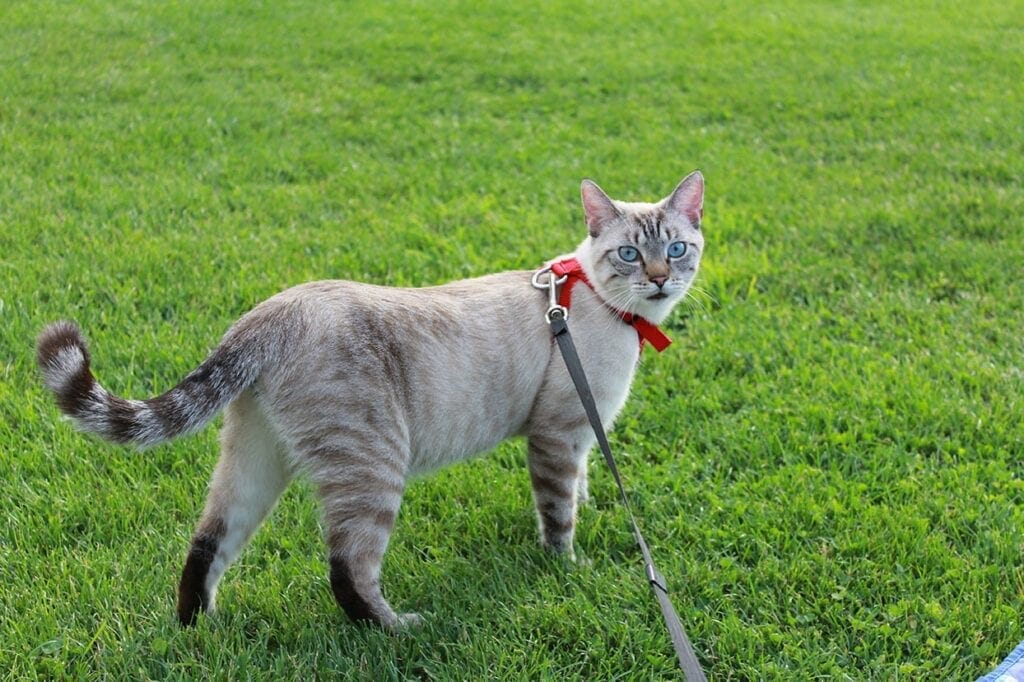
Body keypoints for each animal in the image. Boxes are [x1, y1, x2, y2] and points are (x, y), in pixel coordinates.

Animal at [34, 173, 704, 630]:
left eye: (676, 249)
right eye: (628, 254)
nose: (659, 279)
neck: (606, 308)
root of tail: (267, 315)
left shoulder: (581, 435)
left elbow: (583, 486)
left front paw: (589, 514)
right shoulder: (558, 433)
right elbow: (559, 515)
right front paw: (569, 569)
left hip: (255, 460)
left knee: (207, 543)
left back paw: (200, 629)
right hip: (375, 467)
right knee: (347, 570)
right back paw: (401, 628)